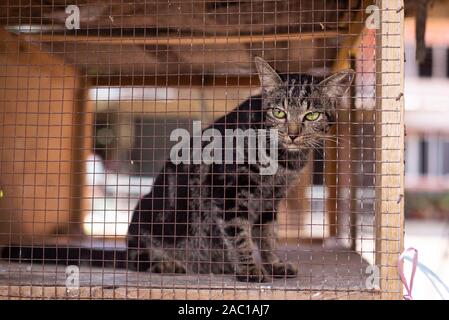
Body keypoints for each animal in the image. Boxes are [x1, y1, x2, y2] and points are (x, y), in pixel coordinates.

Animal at [126, 57, 354, 282]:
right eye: (279, 112)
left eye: (312, 115)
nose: (293, 134)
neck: (283, 161)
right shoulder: (229, 190)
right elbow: (239, 234)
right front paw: (249, 269)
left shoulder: (271, 199)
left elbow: (268, 236)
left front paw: (273, 265)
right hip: (147, 213)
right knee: (136, 257)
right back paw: (166, 263)